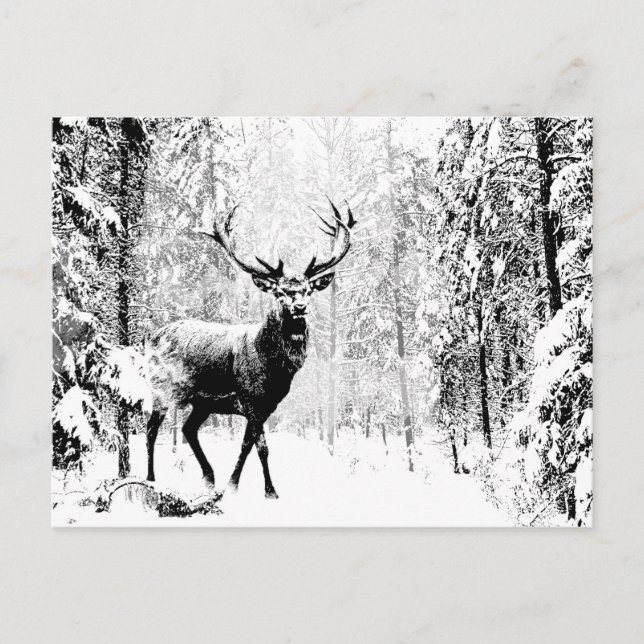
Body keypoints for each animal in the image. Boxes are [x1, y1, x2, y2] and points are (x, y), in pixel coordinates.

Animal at [145, 200, 355, 498]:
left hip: (202, 402)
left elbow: (252, 445)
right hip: (161, 388)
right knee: (151, 430)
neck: (273, 369)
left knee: (188, 429)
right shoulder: (251, 399)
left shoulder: (265, 405)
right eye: (279, 292)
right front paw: (257, 489)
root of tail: (151, 337)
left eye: (308, 290)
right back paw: (150, 478)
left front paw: (243, 487)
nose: (300, 307)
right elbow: (259, 447)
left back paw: (209, 477)